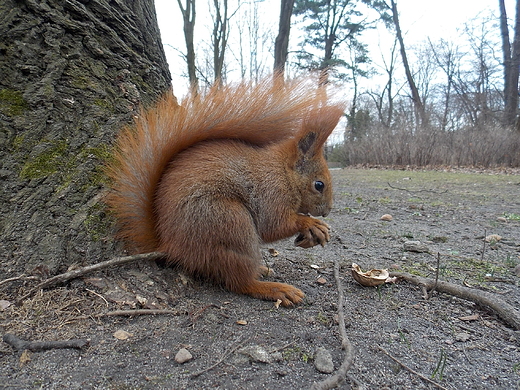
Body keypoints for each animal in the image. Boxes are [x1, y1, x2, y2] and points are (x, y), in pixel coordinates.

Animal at [106, 78, 346, 304]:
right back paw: (273, 288)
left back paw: (262, 270)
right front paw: (312, 224)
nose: (327, 211)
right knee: (239, 281)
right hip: (229, 222)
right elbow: (274, 225)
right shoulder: (271, 193)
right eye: (319, 185)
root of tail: (171, 246)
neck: (282, 173)